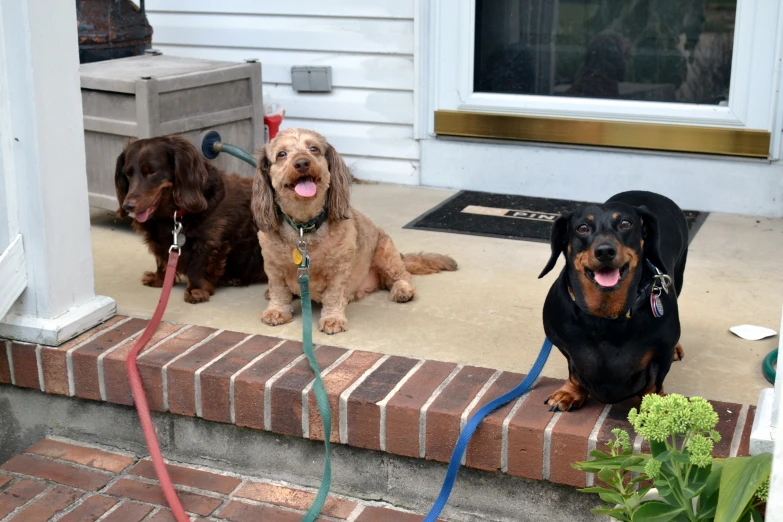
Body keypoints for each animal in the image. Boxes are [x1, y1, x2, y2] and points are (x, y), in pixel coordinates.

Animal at [115, 136, 264, 302]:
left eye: (151, 171)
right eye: (128, 174)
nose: (128, 206)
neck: (173, 214)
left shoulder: (207, 241)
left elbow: (196, 266)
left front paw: (196, 290)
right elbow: (162, 260)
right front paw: (160, 279)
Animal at [251, 128, 460, 336]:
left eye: (314, 149)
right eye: (281, 154)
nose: (302, 163)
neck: (304, 227)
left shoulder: (339, 270)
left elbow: (334, 295)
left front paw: (332, 319)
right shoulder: (273, 267)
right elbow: (279, 291)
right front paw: (277, 311)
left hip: (386, 255)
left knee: (402, 276)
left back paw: (402, 291)